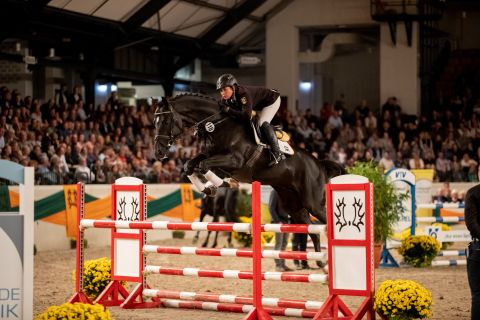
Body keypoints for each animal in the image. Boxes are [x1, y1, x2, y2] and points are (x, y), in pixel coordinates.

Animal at [154, 93, 344, 268]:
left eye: (164, 121)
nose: (158, 153)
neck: (217, 125)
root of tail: (319, 164)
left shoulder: (234, 161)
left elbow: (202, 165)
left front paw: (223, 184)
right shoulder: (209, 154)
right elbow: (190, 165)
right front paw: (209, 188)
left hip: (313, 203)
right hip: (294, 206)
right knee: (314, 232)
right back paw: (321, 263)